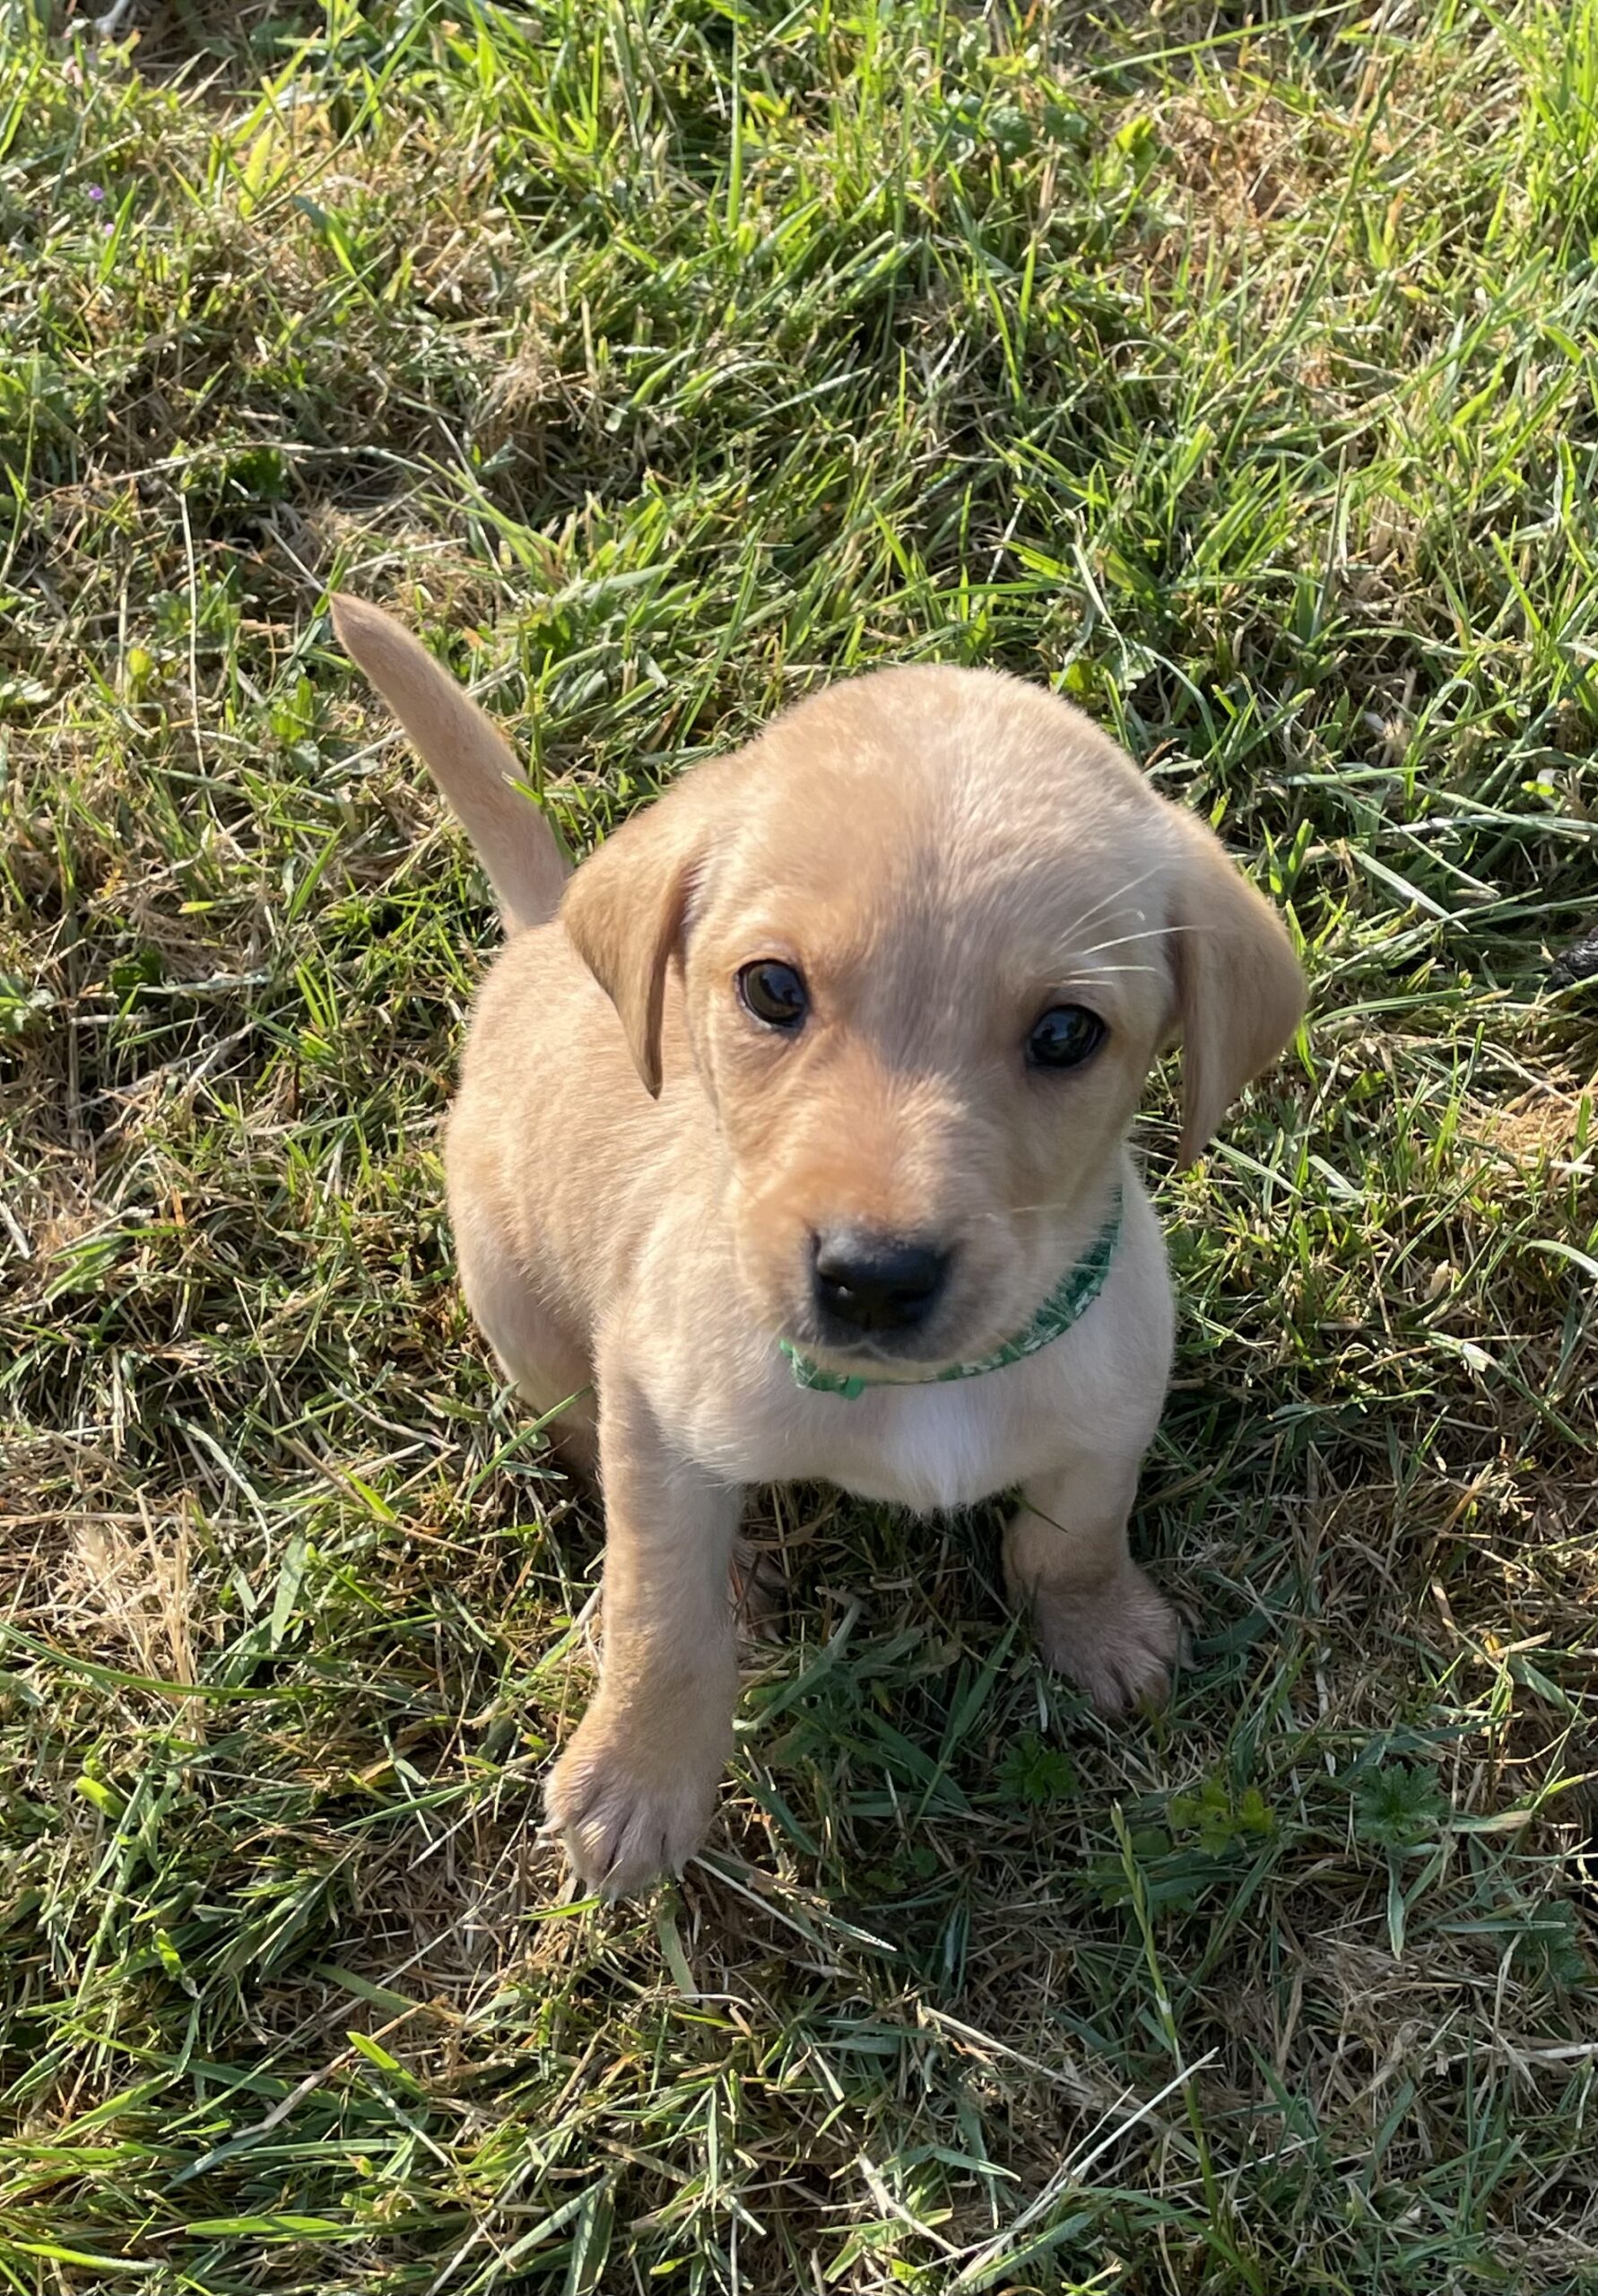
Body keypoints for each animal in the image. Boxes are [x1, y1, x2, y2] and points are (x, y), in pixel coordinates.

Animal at [330, 596, 1304, 1900]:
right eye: (772, 990)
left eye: (1065, 1032)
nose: (872, 1278)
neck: (928, 1389)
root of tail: (542, 939)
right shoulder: (657, 1397)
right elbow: (661, 1608)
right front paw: (635, 1778)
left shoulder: (1113, 1405)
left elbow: (1072, 1537)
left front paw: (1103, 1631)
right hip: (517, 1306)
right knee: (580, 1436)